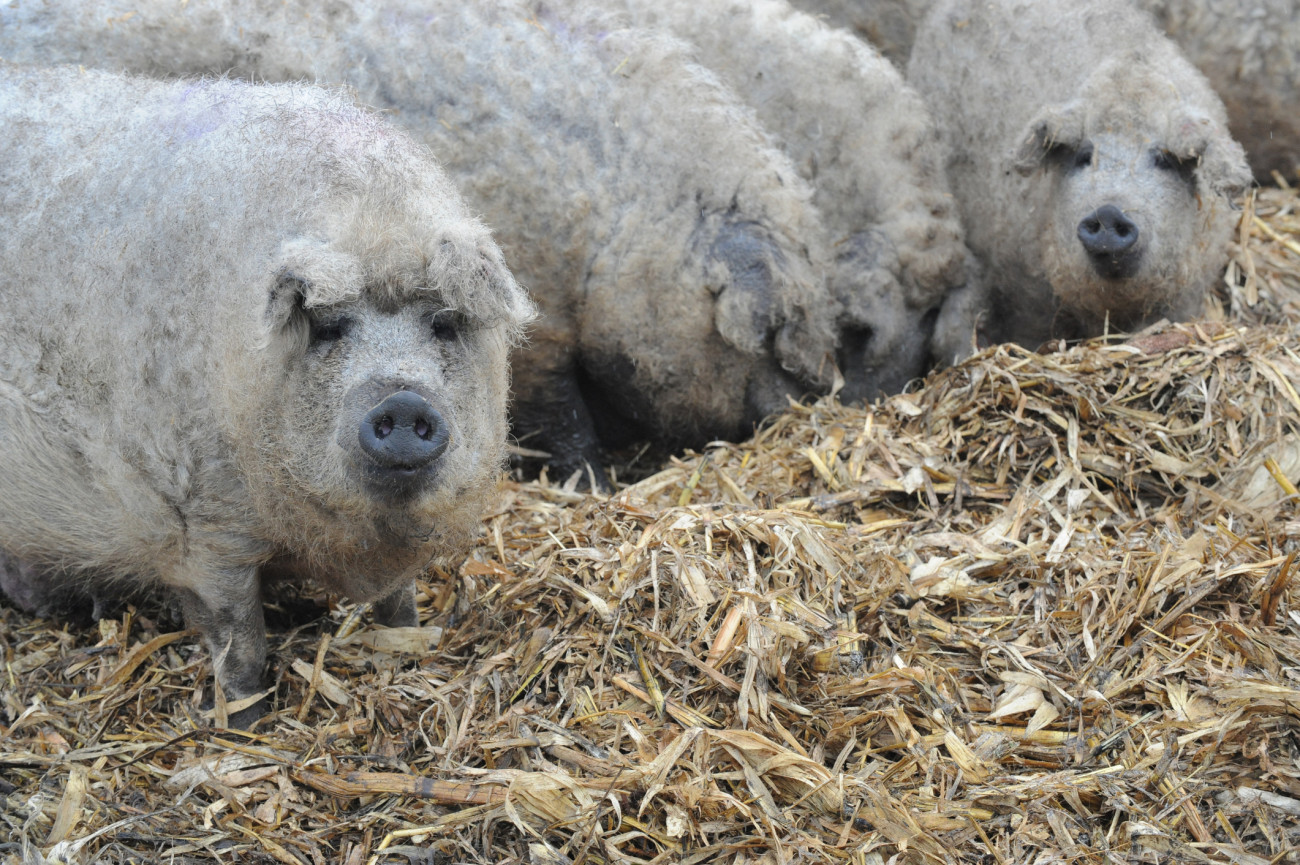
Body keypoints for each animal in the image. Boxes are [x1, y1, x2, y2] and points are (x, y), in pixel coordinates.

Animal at [0, 1, 842, 486]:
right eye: (769, 338)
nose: (823, 401)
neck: (609, 212)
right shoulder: (534, 323)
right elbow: (559, 417)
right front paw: (594, 484)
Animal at [0, 62, 533, 723]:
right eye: (329, 327)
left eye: (442, 323)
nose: (404, 400)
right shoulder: (204, 527)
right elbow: (238, 635)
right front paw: (246, 719)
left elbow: (398, 604)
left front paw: (408, 646)